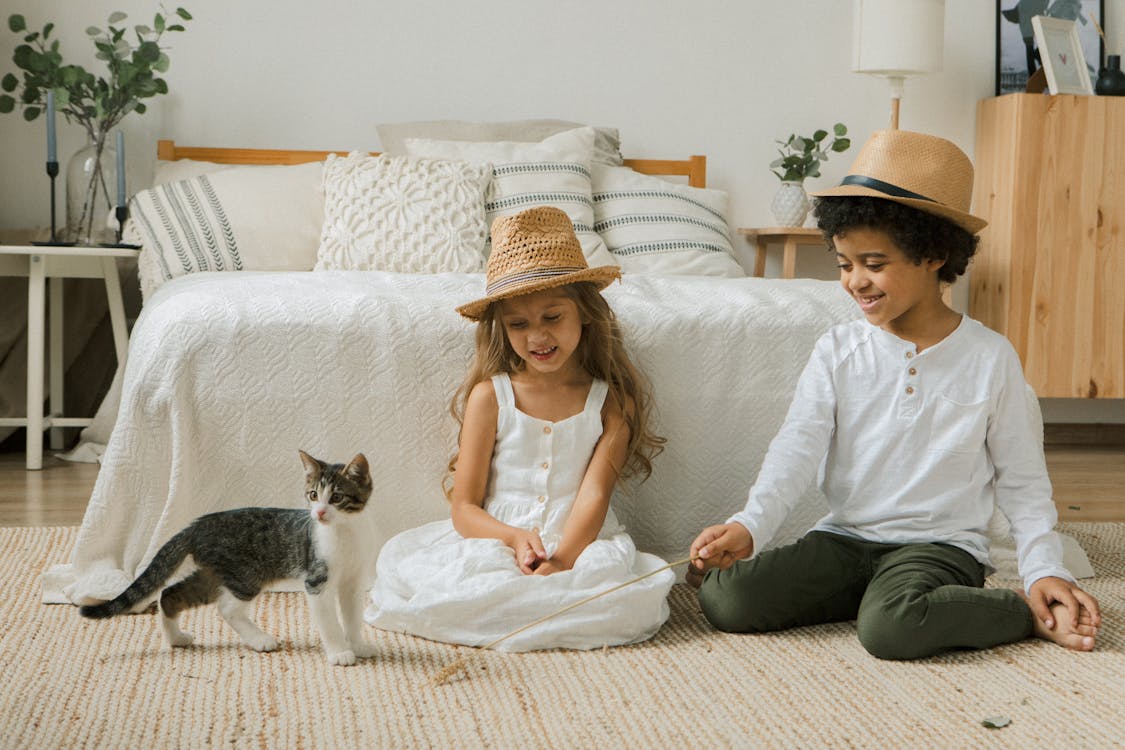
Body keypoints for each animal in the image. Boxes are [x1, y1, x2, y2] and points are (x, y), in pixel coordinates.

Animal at [80, 452, 378, 670]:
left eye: (336, 497)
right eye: (313, 495)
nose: (319, 513)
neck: (345, 533)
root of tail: (197, 525)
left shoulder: (352, 582)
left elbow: (352, 615)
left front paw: (358, 645)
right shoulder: (316, 580)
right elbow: (329, 621)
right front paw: (340, 652)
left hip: (213, 573)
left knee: (170, 594)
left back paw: (176, 638)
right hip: (245, 575)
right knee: (227, 608)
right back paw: (260, 639)